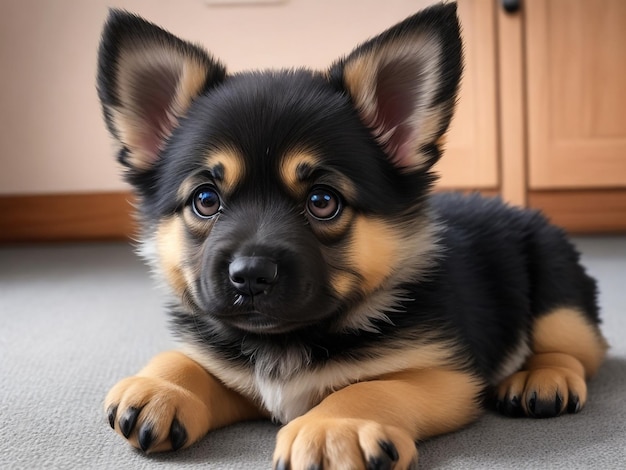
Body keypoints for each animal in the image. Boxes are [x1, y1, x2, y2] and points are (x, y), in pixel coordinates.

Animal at [97, 3, 604, 470]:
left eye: (323, 201)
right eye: (205, 199)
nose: (250, 276)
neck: (289, 339)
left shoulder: (448, 377)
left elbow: (369, 387)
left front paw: (332, 427)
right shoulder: (236, 376)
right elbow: (190, 361)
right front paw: (163, 385)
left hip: (558, 300)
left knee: (578, 351)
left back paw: (542, 378)